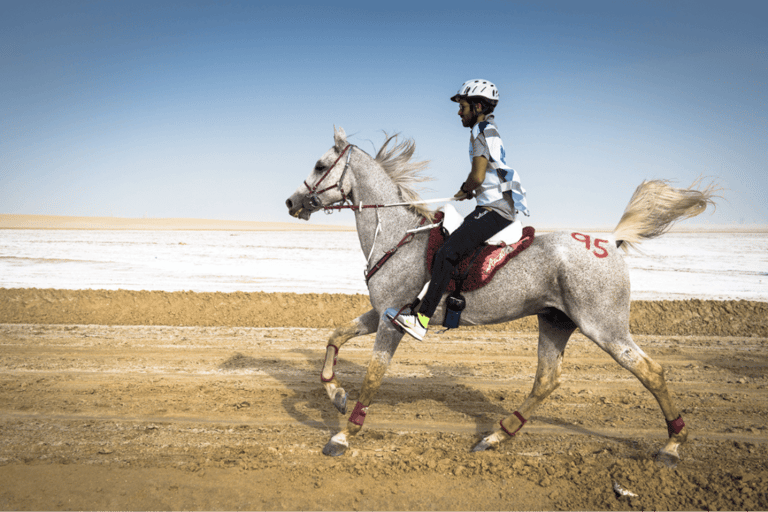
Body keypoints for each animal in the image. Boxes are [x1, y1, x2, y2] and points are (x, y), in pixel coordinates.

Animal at [285, 127, 717, 463]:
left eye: (320, 166)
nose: (291, 201)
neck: (396, 235)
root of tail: (611, 242)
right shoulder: (384, 313)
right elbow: (335, 336)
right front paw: (336, 394)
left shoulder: (393, 323)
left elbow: (373, 377)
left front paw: (343, 434)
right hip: (556, 322)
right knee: (546, 380)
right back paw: (496, 435)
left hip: (604, 328)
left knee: (652, 372)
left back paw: (672, 445)